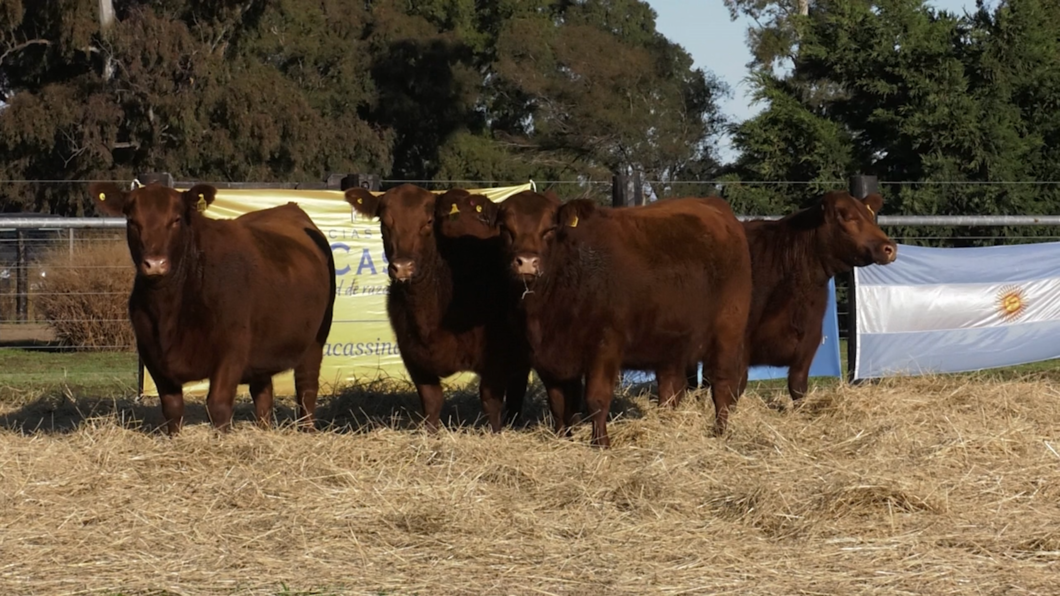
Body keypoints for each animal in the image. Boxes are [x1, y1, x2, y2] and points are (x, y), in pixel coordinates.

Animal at [94, 180, 337, 430]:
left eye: (176, 219)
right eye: (132, 221)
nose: (155, 263)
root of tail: (290, 207)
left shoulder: (231, 350)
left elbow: (218, 405)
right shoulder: (151, 353)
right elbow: (172, 409)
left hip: (315, 339)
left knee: (306, 388)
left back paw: (306, 428)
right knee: (263, 394)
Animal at [345, 183, 530, 428]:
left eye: (428, 221)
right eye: (384, 221)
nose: (402, 267)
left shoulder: (496, 356)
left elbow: (491, 404)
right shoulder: (414, 357)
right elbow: (432, 403)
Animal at [487, 190, 754, 445]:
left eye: (550, 229)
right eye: (505, 228)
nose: (526, 263)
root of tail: (714, 206)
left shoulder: (605, 346)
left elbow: (596, 398)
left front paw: (601, 443)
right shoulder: (546, 357)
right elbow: (558, 403)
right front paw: (562, 439)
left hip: (727, 331)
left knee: (722, 385)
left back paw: (720, 432)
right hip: (671, 344)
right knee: (671, 389)